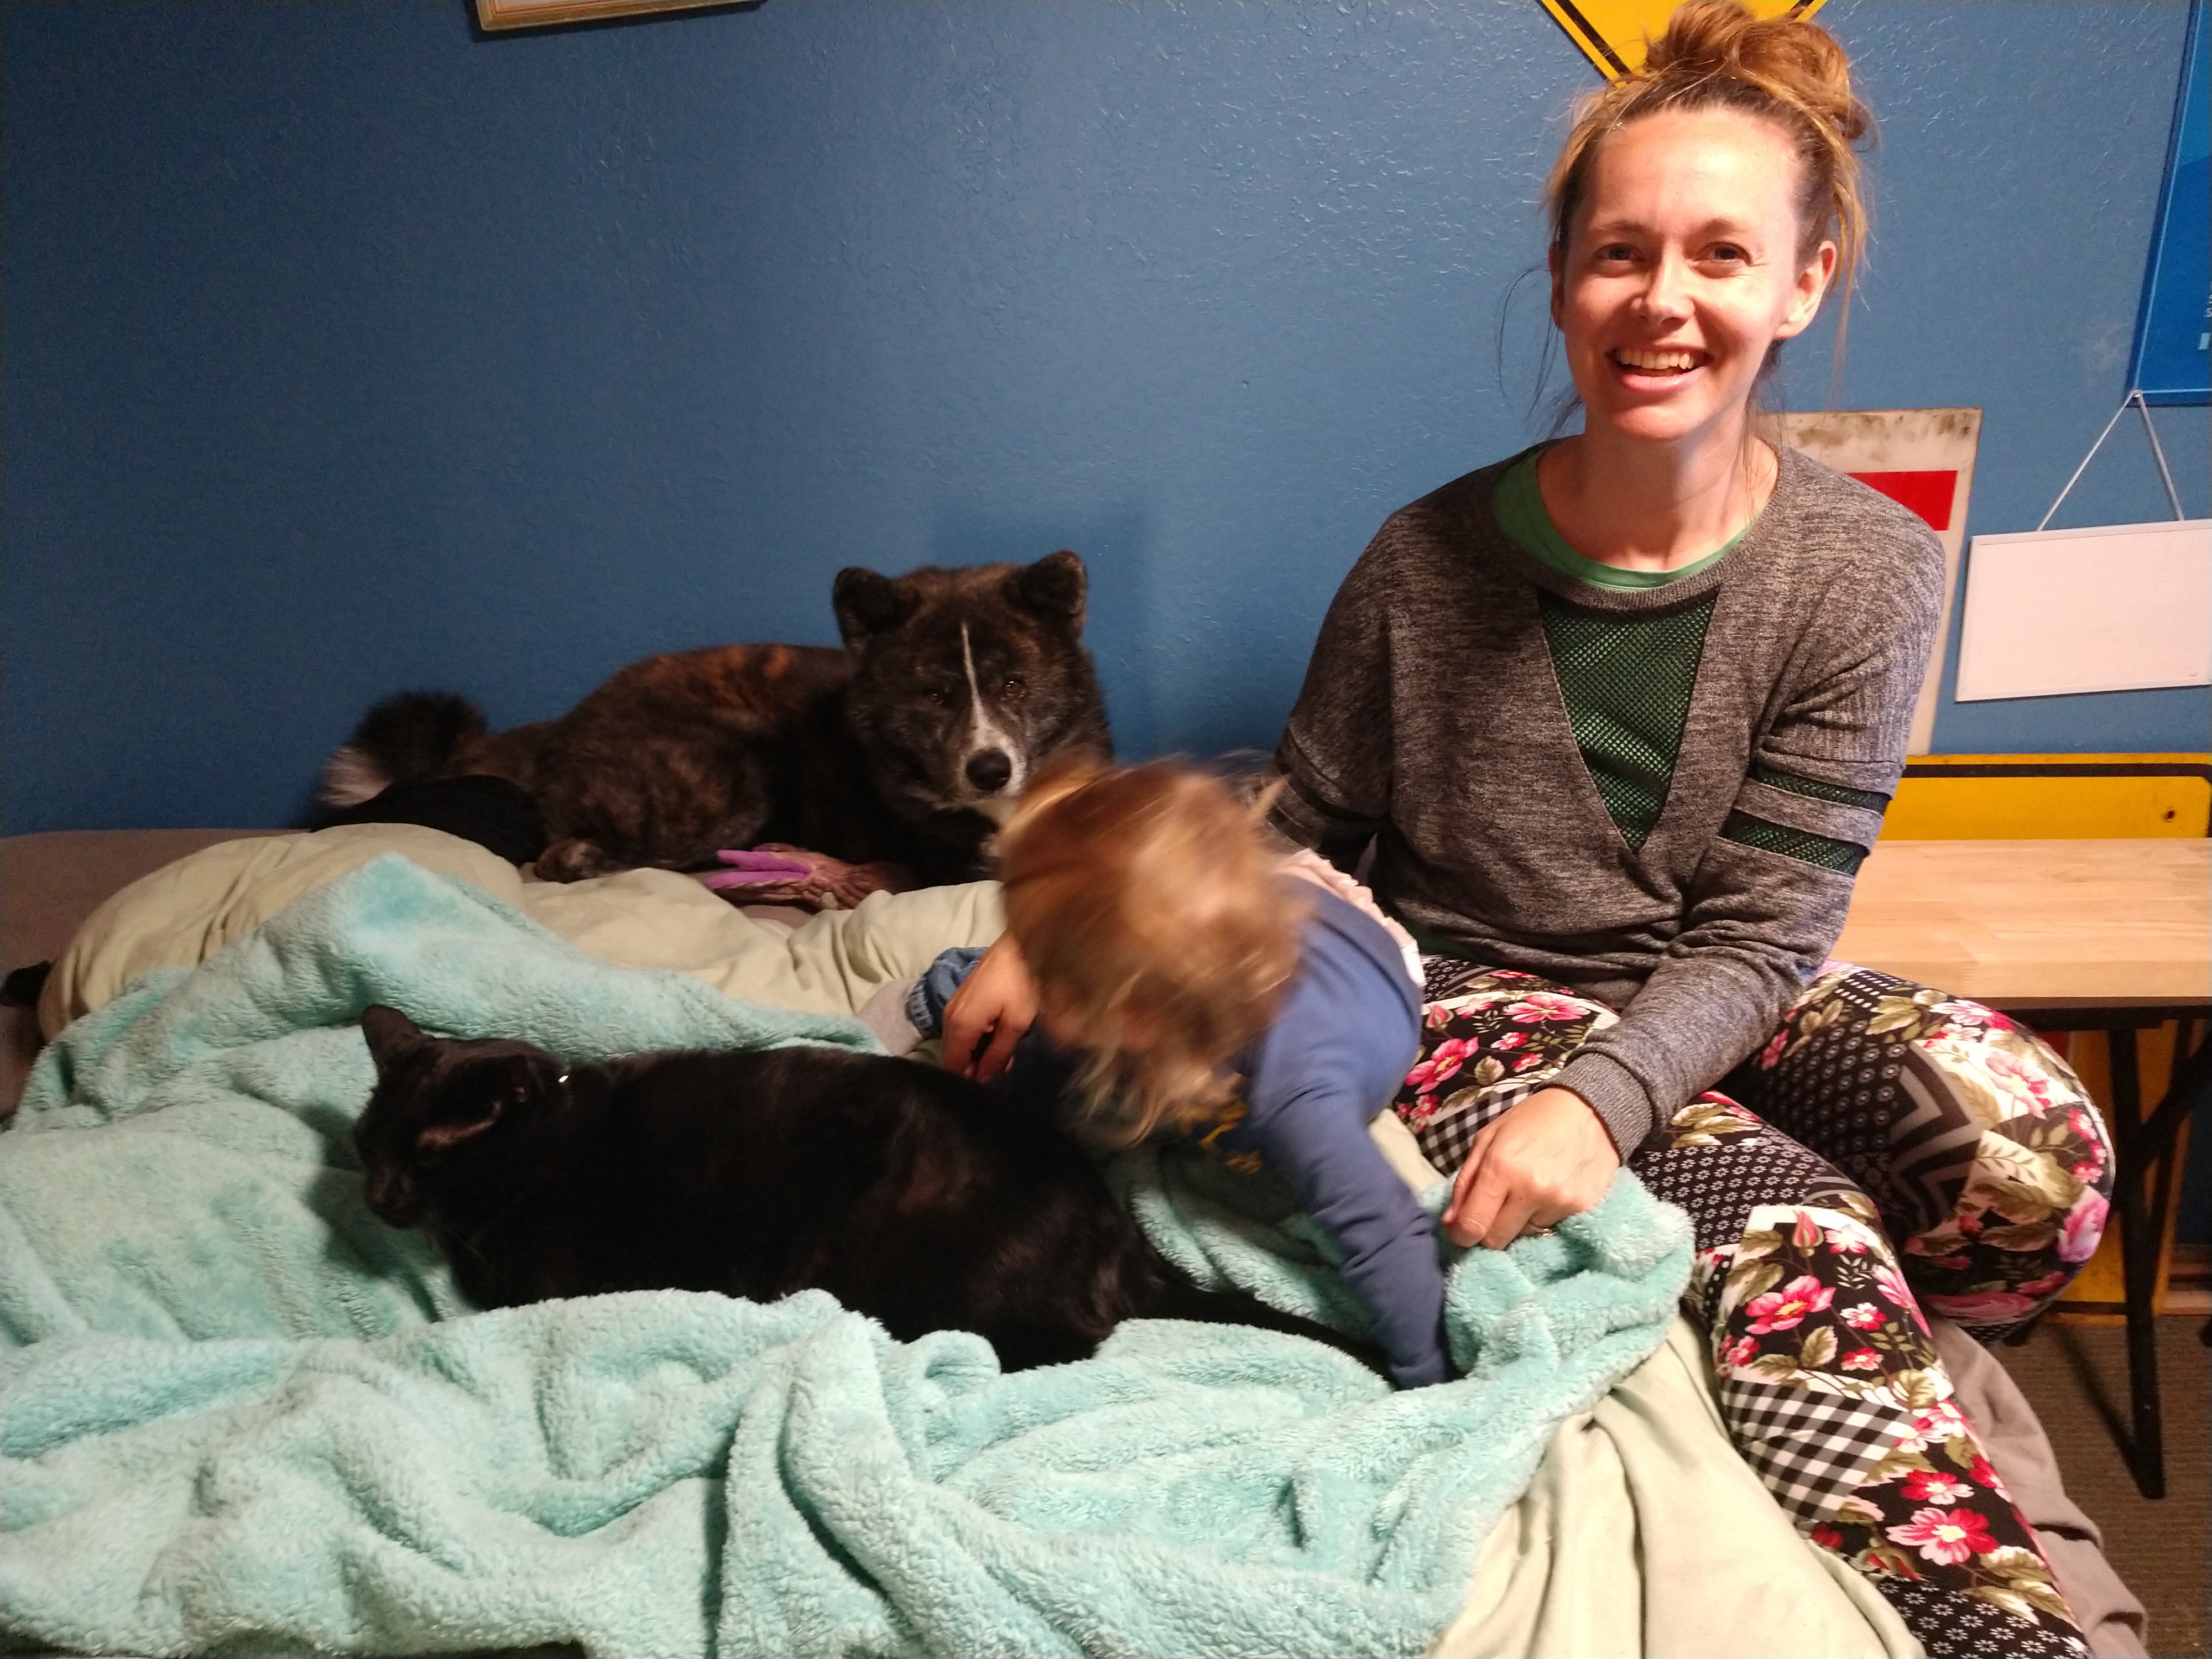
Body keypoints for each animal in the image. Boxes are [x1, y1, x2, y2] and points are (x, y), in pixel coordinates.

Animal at [320, 552, 1113, 884]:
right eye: (936, 695)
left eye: (1013, 684)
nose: (990, 769)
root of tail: (559, 727)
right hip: (743, 759)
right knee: (575, 857)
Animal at [352, 1005, 1383, 1375]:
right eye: (368, 1145)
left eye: (430, 1151)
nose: (377, 1199)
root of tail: (1123, 1241)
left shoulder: (544, 1286)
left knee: (1057, 1351)